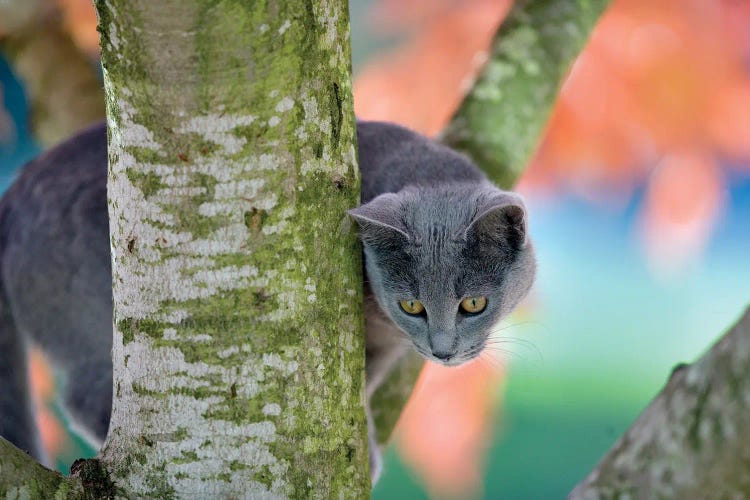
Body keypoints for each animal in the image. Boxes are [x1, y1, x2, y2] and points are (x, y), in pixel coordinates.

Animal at [0, 120, 536, 480]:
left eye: (473, 304)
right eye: (412, 306)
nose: (443, 351)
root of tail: (13, 195)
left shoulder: (382, 350)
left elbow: (357, 392)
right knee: (87, 394)